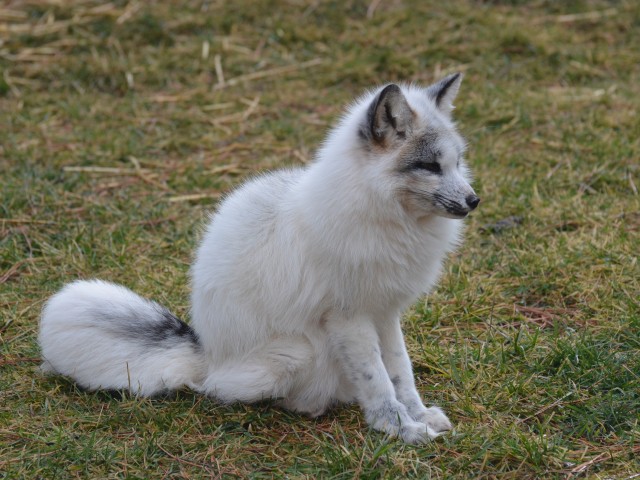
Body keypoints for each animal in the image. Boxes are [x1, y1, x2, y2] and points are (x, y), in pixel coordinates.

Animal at [38, 73, 480, 444]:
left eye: (457, 162)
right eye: (429, 165)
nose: (474, 200)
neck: (384, 219)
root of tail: (205, 352)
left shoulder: (385, 311)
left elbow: (401, 371)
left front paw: (418, 415)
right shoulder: (349, 316)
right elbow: (378, 380)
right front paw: (399, 429)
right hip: (299, 353)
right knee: (220, 390)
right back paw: (307, 406)